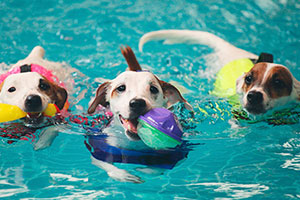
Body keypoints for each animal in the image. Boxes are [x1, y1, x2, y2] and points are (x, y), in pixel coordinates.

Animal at [86, 45, 192, 183]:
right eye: (121, 88)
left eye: (153, 89)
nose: (137, 103)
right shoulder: (101, 148)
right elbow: (109, 166)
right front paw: (125, 175)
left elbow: (157, 168)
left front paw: (144, 170)